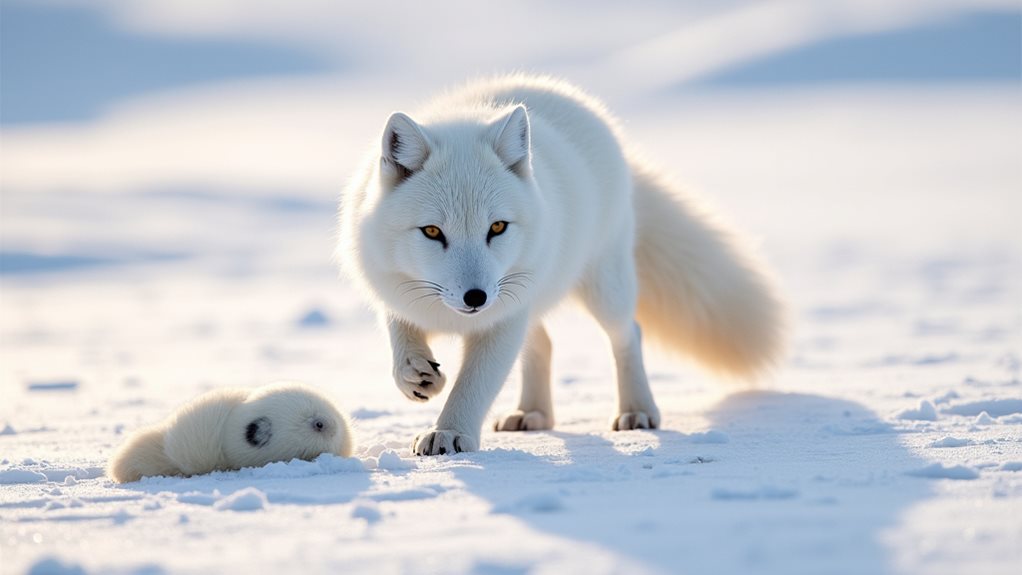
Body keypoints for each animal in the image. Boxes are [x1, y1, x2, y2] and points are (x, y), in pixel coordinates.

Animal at [337, 74, 785, 456]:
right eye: (432, 232)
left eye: (496, 227)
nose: (476, 298)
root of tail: (574, 97)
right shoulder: (393, 285)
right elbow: (399, 330)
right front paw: (415, 373)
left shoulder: (503, 318)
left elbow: (473, 385)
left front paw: (449, 432)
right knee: (544, 344)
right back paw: (533, 414)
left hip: (603, 288)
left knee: (629, 334)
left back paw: (637, 410)